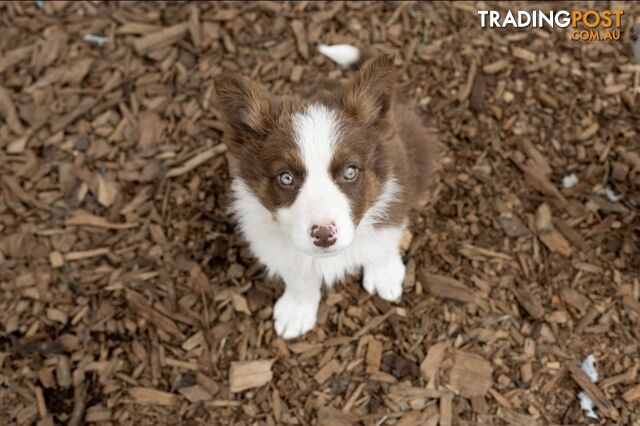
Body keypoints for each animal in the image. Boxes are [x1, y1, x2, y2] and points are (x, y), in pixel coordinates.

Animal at [212, 46, 438, 340]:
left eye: (350, 172)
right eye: (286, 178)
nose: (323, 235)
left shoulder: (394, 189)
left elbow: (384, 239)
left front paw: (384, 274)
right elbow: (298, 274)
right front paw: (297, 311)